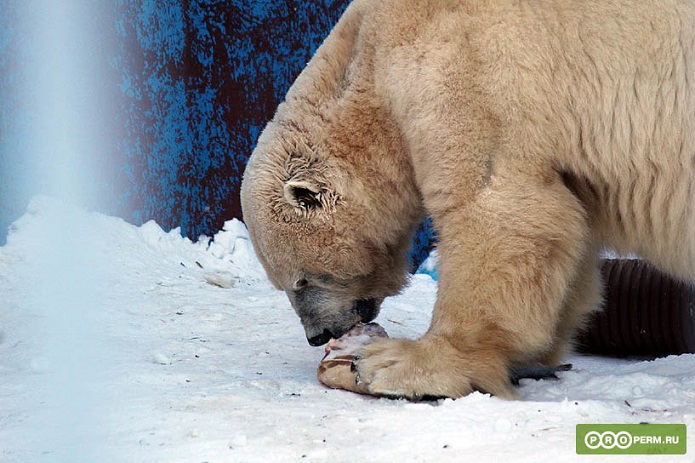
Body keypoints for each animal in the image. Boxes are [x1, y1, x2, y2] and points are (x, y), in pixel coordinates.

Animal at [241, 0, 695, 398]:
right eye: (283, 281)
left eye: (301, 279)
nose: (318, 336)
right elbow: (568, 235)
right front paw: (534, 355)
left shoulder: (466, 67)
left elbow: (493, 206)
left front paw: (398, 363)